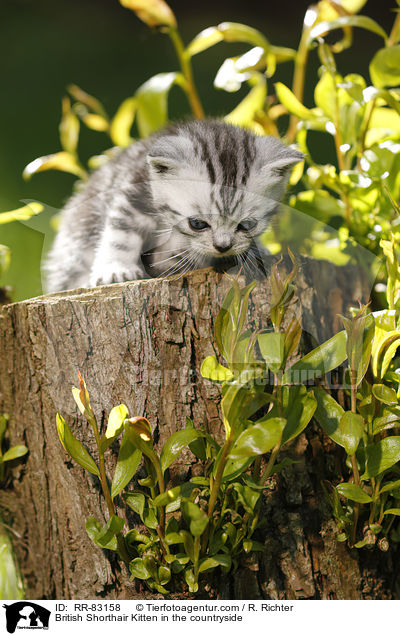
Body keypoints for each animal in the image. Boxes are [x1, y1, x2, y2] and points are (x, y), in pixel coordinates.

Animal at [44, 118, 300, 292]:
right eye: (197, 223)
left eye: (246, 225)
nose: (223, 247)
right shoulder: (134, 188)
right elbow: (121, 232)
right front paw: (115, 269)